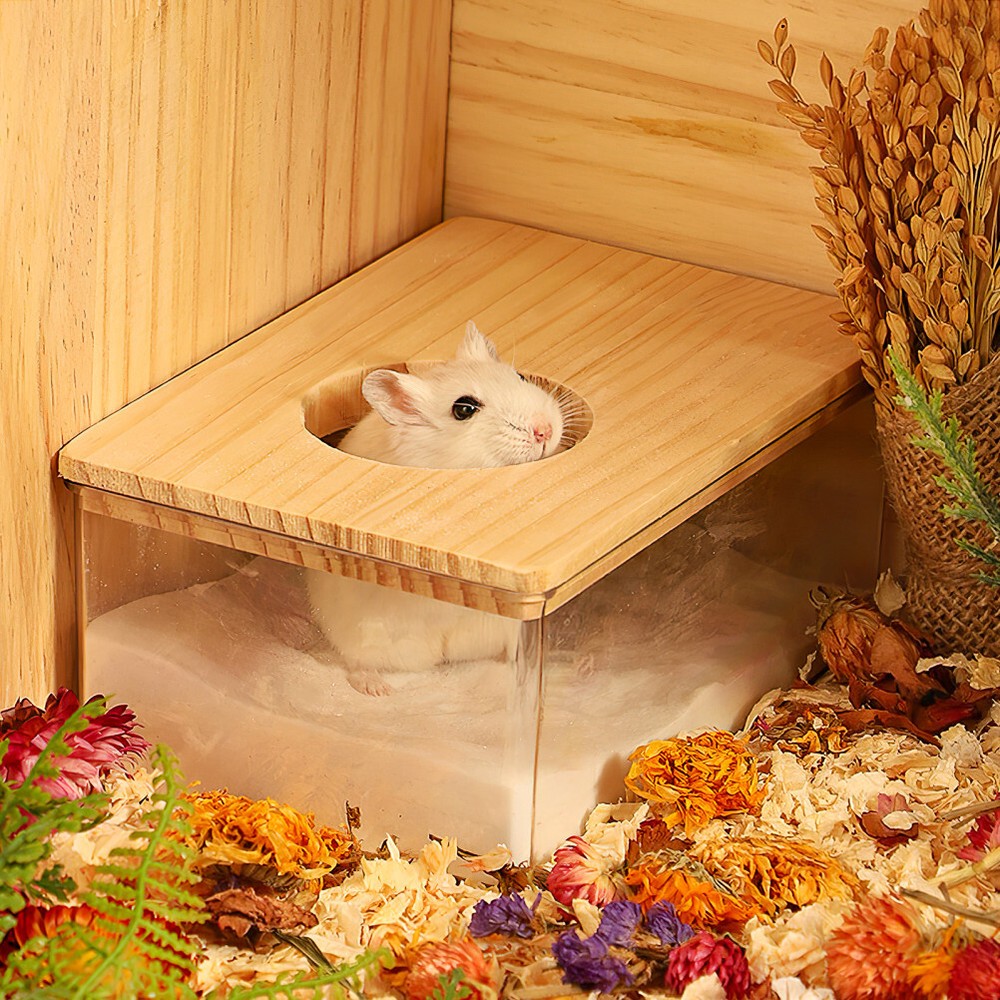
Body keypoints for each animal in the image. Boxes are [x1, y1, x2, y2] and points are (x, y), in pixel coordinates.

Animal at [307, 322, 573, 695]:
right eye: (464, 409)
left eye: (520, 376)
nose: (544, 430)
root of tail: (443, 654)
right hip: (361, 636)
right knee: (357, 663)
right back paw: (377, 690)